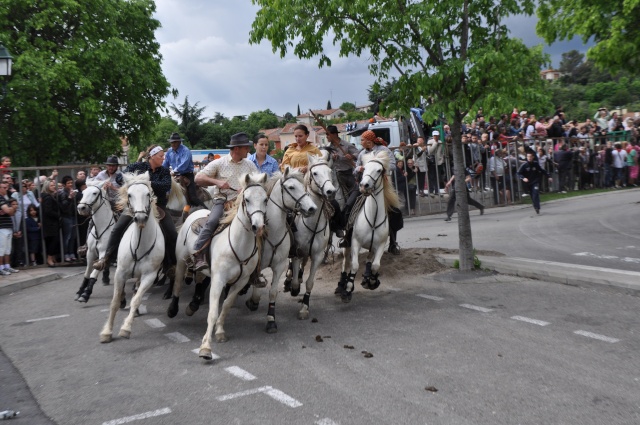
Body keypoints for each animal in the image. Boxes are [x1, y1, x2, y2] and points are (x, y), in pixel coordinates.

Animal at [99, 172, 165, 342]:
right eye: (129, 195)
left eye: (148, 194)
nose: (140, 218)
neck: (139, 245)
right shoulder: (120, 273)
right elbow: (115, 301)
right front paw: (107, 332)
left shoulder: (149, 276)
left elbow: (136, 300)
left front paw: (126, 328)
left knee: (136, 291)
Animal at [168, 172, 268, 358]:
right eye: (247, 199)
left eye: (265, 199)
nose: (258, 226)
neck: (238, 244)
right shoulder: (218, 279)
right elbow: (213, 312)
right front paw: (206, 347)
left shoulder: (241, 281)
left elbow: (226, 305)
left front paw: (220, 331)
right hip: (181, 260)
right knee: (177, 283)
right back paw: (173, 309)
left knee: (199, 278)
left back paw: (192, 306)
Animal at [245, 167, 318, 332]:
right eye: (291, 187)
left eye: (303, 186)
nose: (312, 208)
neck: (273, 233)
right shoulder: (258, 264)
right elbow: (256, 285)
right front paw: (253, 301)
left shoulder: (279, 266)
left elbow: (272, 293)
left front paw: (271, 320)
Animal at [284, 152, 336, 318]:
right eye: (315, 173)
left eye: (329, 171)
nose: (331, 191)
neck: (311, 224)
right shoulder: (296, 252)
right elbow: (294, 280)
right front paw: (293, 288)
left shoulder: (317, 255)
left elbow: (309, 282)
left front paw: (305, 307)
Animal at [338, 149, 398, 302]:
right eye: (364, 168)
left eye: (379, 170)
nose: (364, 185)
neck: (373, 218)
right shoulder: (355, 242)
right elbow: (354, 266)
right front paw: (347, 290)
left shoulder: (380, 245)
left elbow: (376, 265)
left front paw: (372, 281)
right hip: (347, 244)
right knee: (345, 262)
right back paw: (341, 286)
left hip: (371, 247)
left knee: (369, 260)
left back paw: (366, 278)